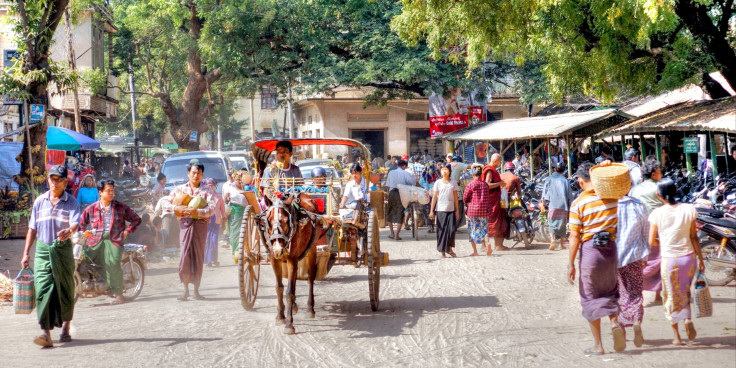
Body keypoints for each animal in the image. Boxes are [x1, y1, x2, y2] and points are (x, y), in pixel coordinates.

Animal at [258, 193, 322, 334]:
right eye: (268, 221)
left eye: (286, 220)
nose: (278, 250)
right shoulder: (274, 259)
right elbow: (279, 288)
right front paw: (280, 316)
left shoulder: (292, 259)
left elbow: (289, 292)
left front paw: (289, 324)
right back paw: (294, 306)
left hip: (312, 249)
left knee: (310, 278)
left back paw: (310, 308)